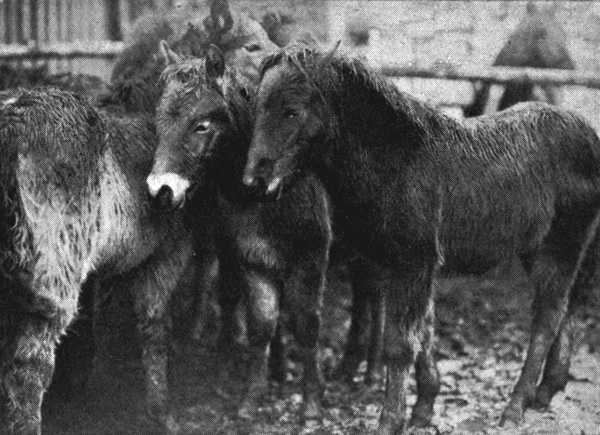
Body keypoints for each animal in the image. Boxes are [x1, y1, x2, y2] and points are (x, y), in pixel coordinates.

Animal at [0, 88, 202, 432]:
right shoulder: (165, 255)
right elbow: (154, 327)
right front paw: (160, 413)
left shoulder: (94, 272)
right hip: (52, 275)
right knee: (28, 370)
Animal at [241, 43, 600, 432]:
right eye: (257, 107)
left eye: (291, 111)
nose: (253, 182)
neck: (394, 162)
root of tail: (591, 136)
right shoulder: (399, 266)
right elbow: (423, 332)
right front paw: (423, 407)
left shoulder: (414, 262)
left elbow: (399, 344)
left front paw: (390, 420)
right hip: (538, 248)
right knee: (566, 306)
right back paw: (546, 389)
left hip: (564, 243)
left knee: (548, 315)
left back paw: (516, 404)